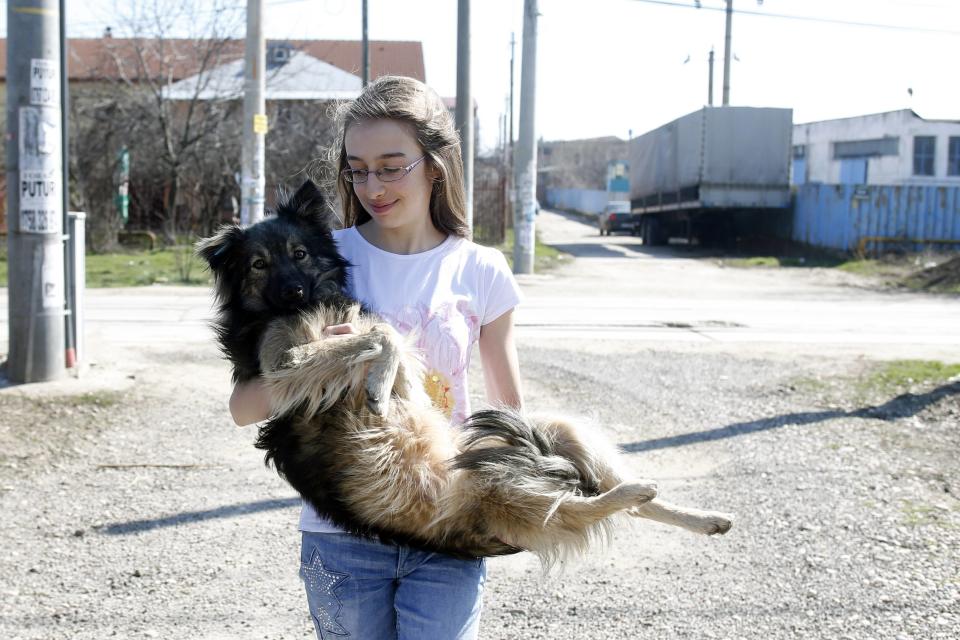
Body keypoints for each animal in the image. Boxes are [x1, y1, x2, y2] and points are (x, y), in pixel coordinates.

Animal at [197, 181, 736, 564]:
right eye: (258, 265)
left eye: (301, 254)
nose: (293, 292)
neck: (304, 307)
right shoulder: (282, 365)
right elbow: (382, 338)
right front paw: (383, 383)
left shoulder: (328, 335)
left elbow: (384, 335)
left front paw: (389, 382)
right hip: (500, 488)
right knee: (585, 503)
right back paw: (639, 492)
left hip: (551, 432)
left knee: (604, 494)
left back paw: (702, 516)